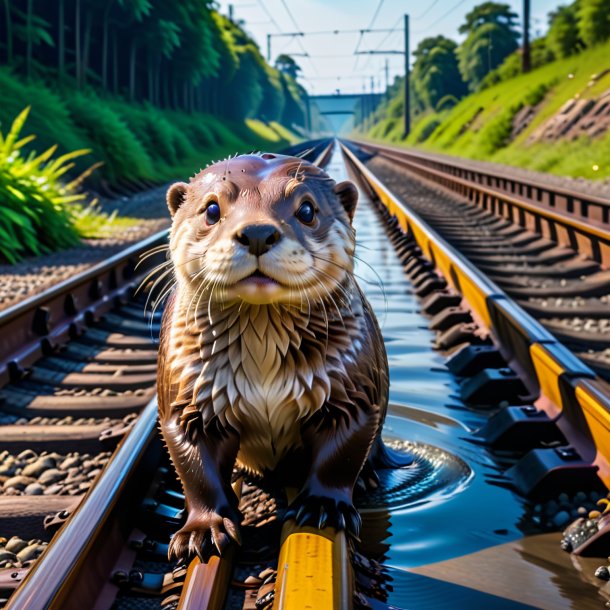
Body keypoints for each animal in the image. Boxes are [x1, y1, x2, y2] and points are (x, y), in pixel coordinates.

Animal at [157, 152, 406, 560]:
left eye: (306, 209)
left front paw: (323, 507)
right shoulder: (187, 397)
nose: (258, 232)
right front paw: (204, 529)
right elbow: (196, 468)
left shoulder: (352, 388)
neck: (263, 367)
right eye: (211, 209)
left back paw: (368, 476)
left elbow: (341, 455)